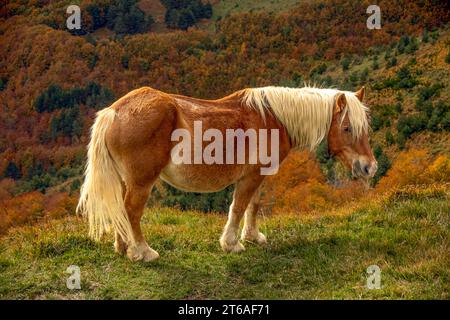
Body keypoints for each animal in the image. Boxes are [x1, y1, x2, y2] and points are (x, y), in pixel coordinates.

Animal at [76, 85, 376, 262]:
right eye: (347, 128)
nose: (369, 167)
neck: (273, 118)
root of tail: (114, 112)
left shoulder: (259, 175)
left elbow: (254, 205)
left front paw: (253, 237)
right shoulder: (251, 176)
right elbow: (239, 206)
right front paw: (231, 243)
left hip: (126, 181)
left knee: (121, 212)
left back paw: (123, 247)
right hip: (142, 182)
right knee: (131, 212)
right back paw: (143, 251)